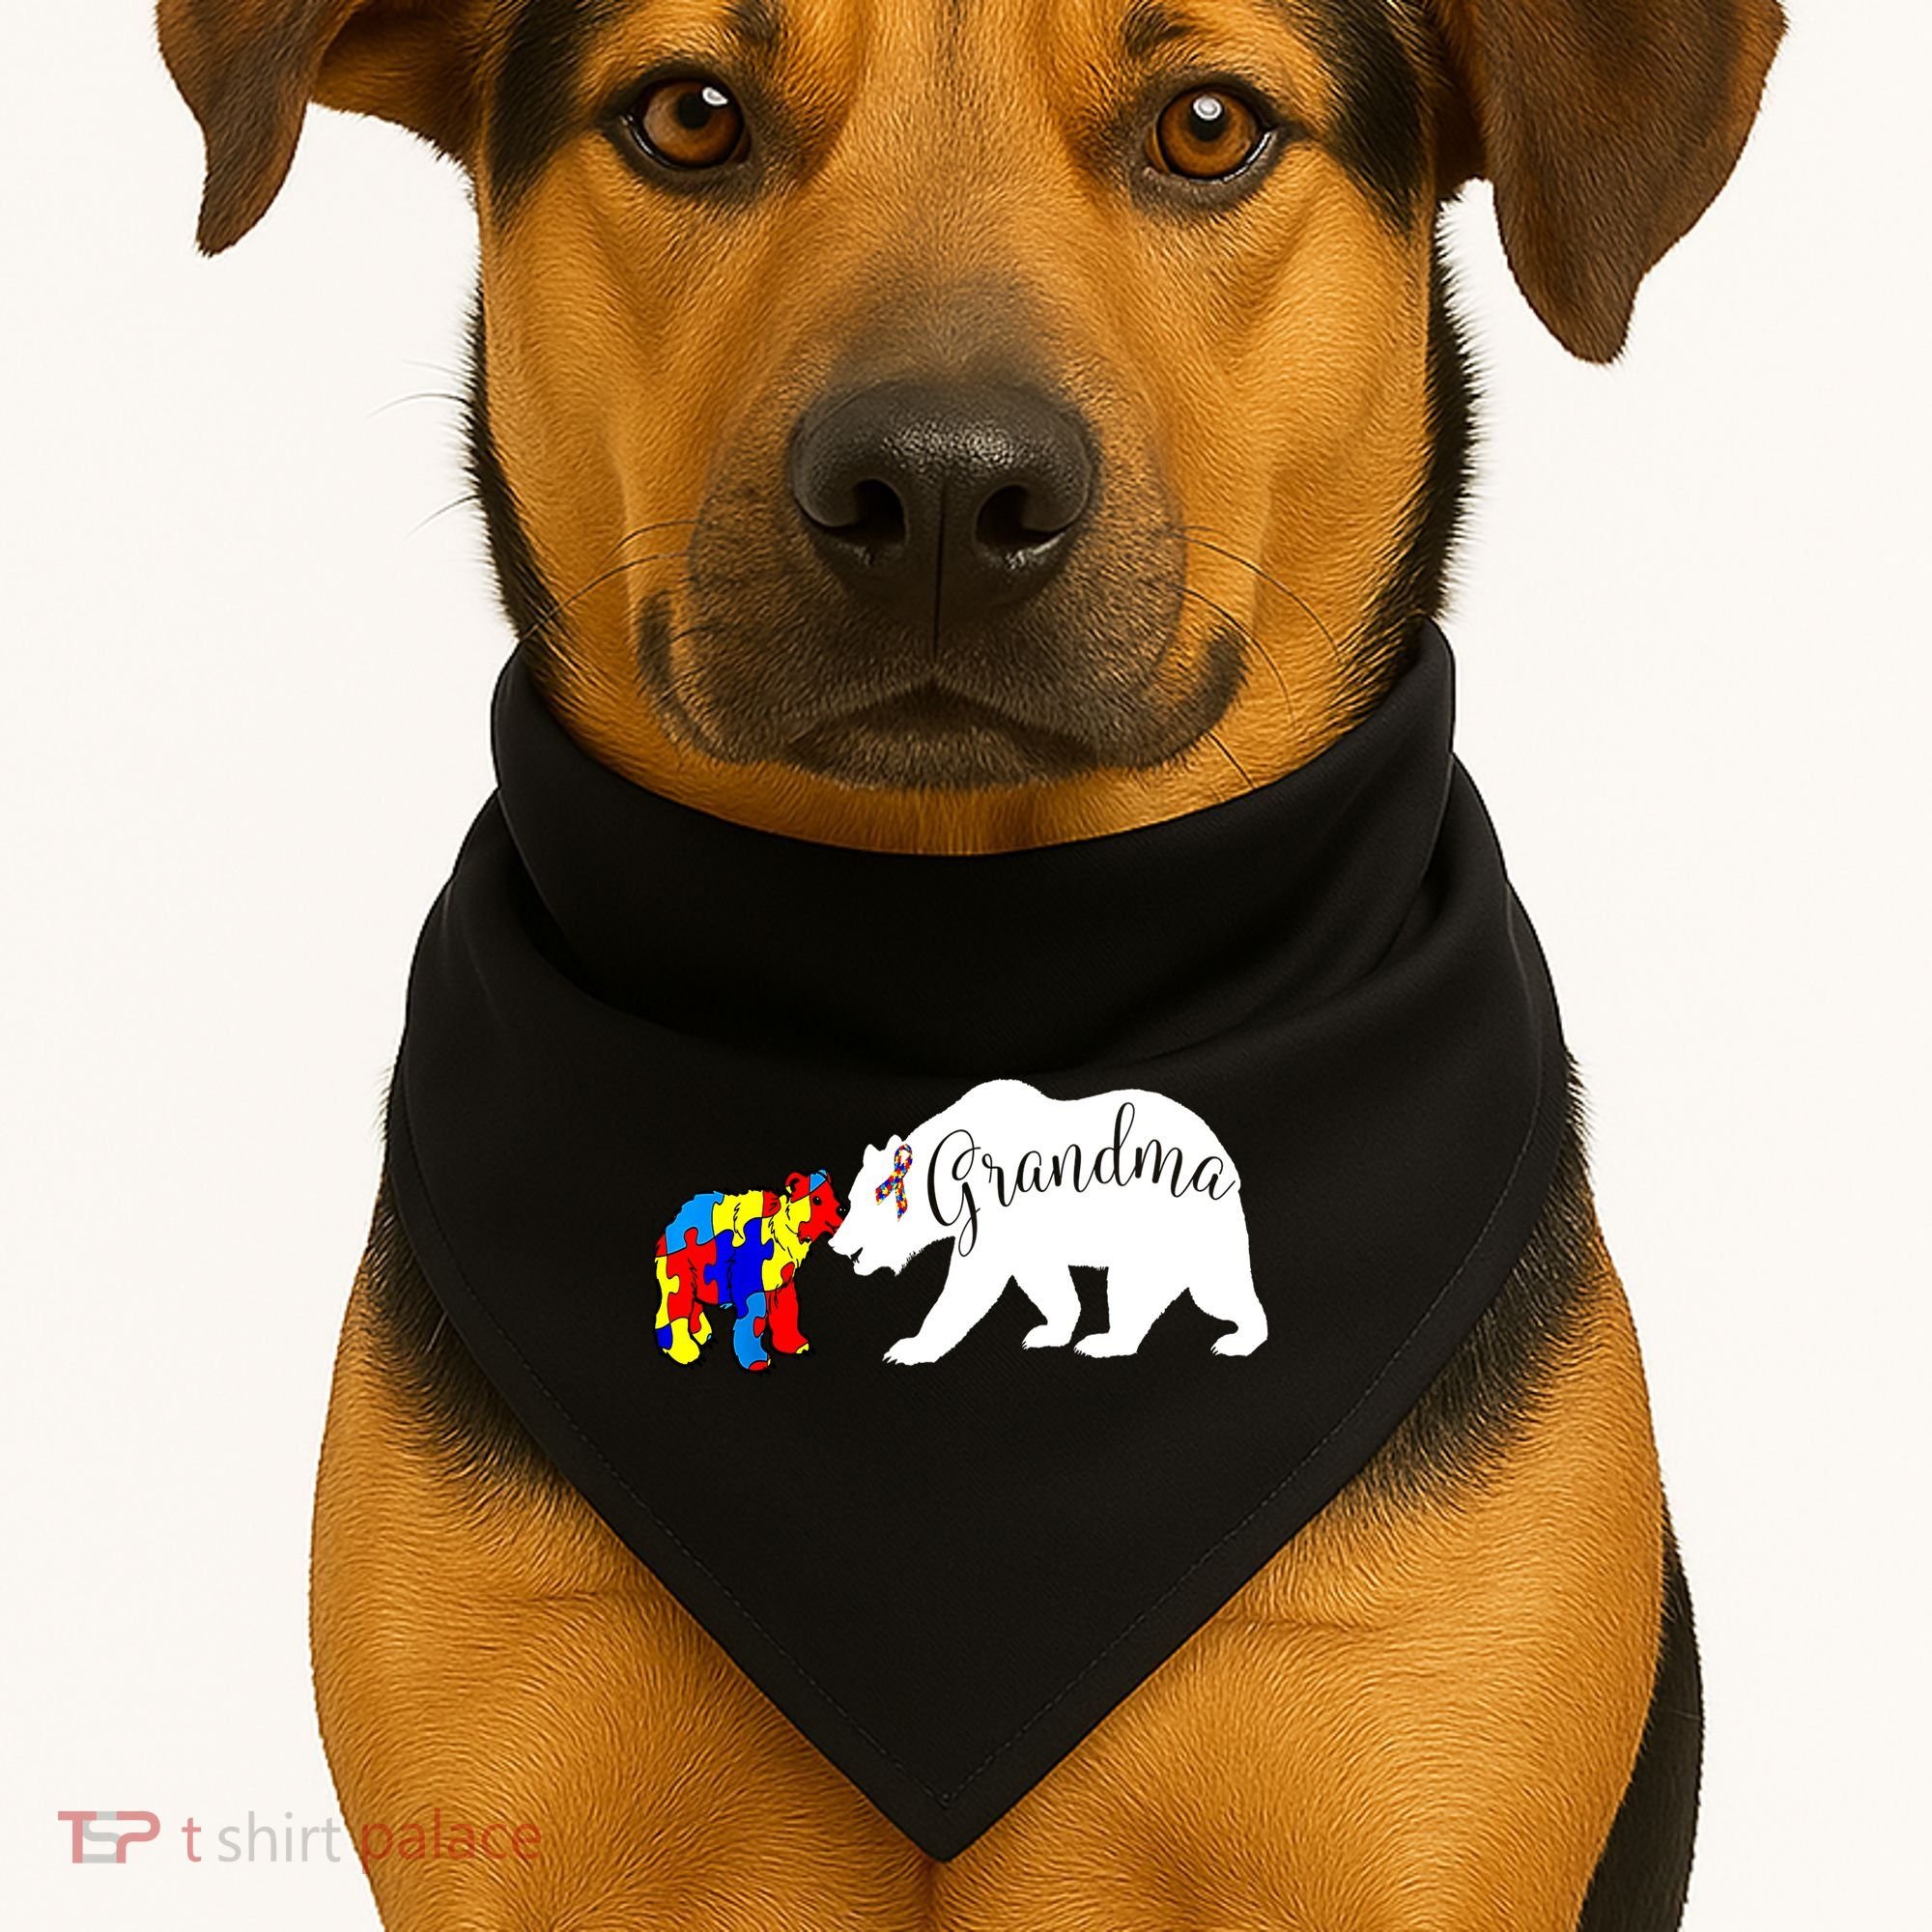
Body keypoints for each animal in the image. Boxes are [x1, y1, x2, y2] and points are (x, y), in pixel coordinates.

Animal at [654, 1171, 845, 1372]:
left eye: (832, 1193)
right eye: (817, 1199)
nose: (842, 1210)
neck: (780, 1236)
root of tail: (673, 1223)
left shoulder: (781, 1278)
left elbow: (787, 1309)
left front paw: (795, 1344)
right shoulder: (750, 1273)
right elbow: (754, 1319)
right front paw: (757, 1360)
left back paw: (702, 1333)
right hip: (680, 1265)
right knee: (676, 1303)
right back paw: (684, 1351)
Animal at [828, 1079, 1265, 1365]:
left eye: (861, 1204)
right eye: (848, 1203)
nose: (835, 1243)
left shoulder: (999, 1205)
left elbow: (971, 1281)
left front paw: (908, 1348)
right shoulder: (1028, 1234)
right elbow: (1043, 1277)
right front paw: (1047, 1332)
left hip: (1171, 1222)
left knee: (1172, 1287)